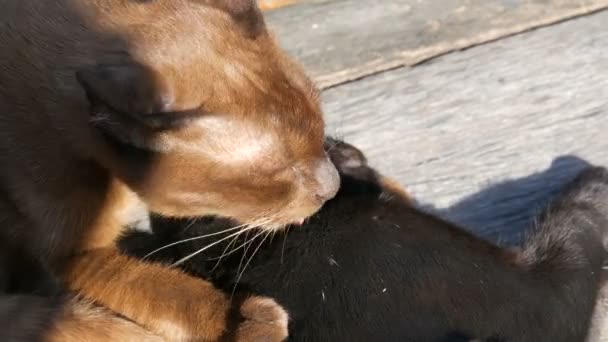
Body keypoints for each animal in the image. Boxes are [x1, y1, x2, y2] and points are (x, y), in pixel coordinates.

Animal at [0, 0, 338, 340]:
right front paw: (237, 319)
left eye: (320, 129)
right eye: (279, 173)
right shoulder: (66, 256)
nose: (333, 186)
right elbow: (150, 283)